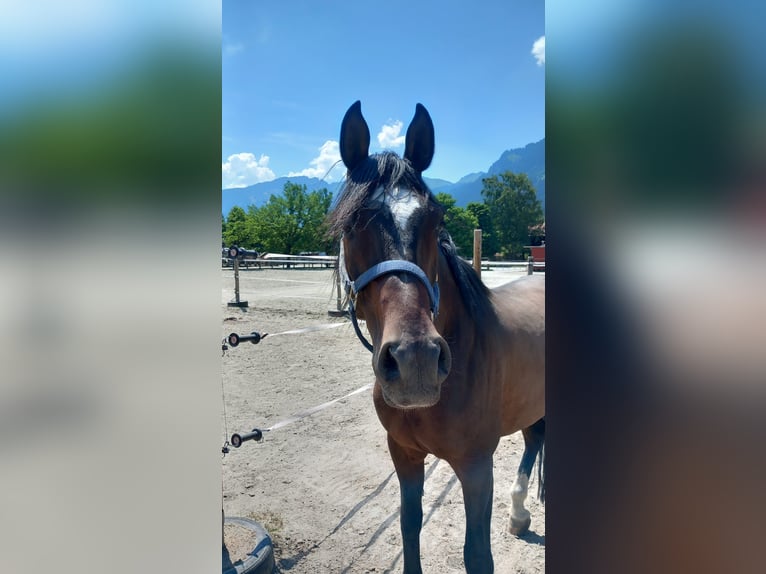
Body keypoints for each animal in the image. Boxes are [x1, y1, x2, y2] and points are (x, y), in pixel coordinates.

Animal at [327, 101, 545, 574]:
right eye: (350, 225)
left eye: (436, 219)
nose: (416, 362)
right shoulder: (404, 455)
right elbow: (410, 525)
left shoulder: (476, 467)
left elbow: (477, 554)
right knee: (535, 438)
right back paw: (520, 512)